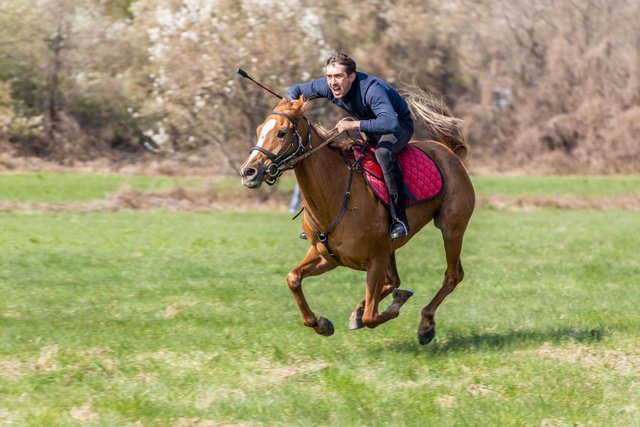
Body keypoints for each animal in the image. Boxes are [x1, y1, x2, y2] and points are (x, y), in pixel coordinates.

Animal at [238, 93, 472, 344]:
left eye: (282, 132)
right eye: (259, 129)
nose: (248, 172)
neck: (336, 195)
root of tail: (448, 151)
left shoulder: (376, 260)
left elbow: (372, 316)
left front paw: (392, 307)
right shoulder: (327, 257)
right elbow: (293, 279)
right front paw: (321, 324)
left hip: (451, 229)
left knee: (453, 275)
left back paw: (425, 324)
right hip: (391, 250)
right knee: (394, 281)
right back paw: (362, 311)